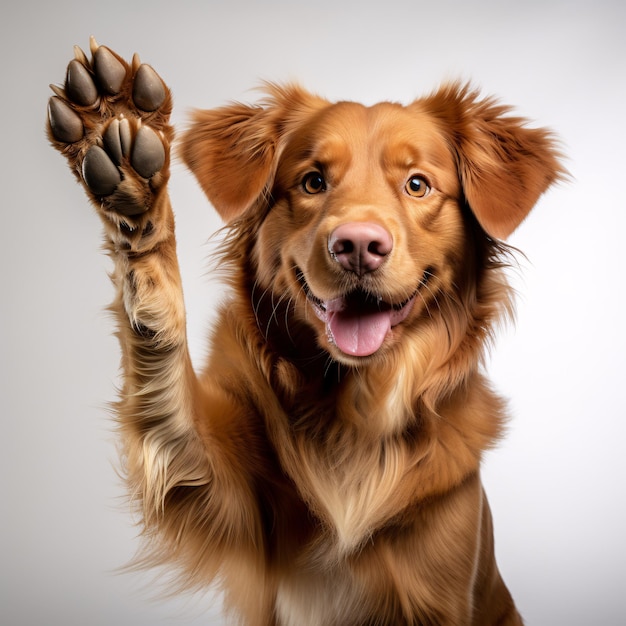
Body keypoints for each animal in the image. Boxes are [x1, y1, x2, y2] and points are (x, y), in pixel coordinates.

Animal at [50, 39, 560, 624]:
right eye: (314, 181)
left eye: (417, 185)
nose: (358, 246)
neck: (355, 415)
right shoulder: (215, 490)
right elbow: (168, 389)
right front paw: (123, 154)